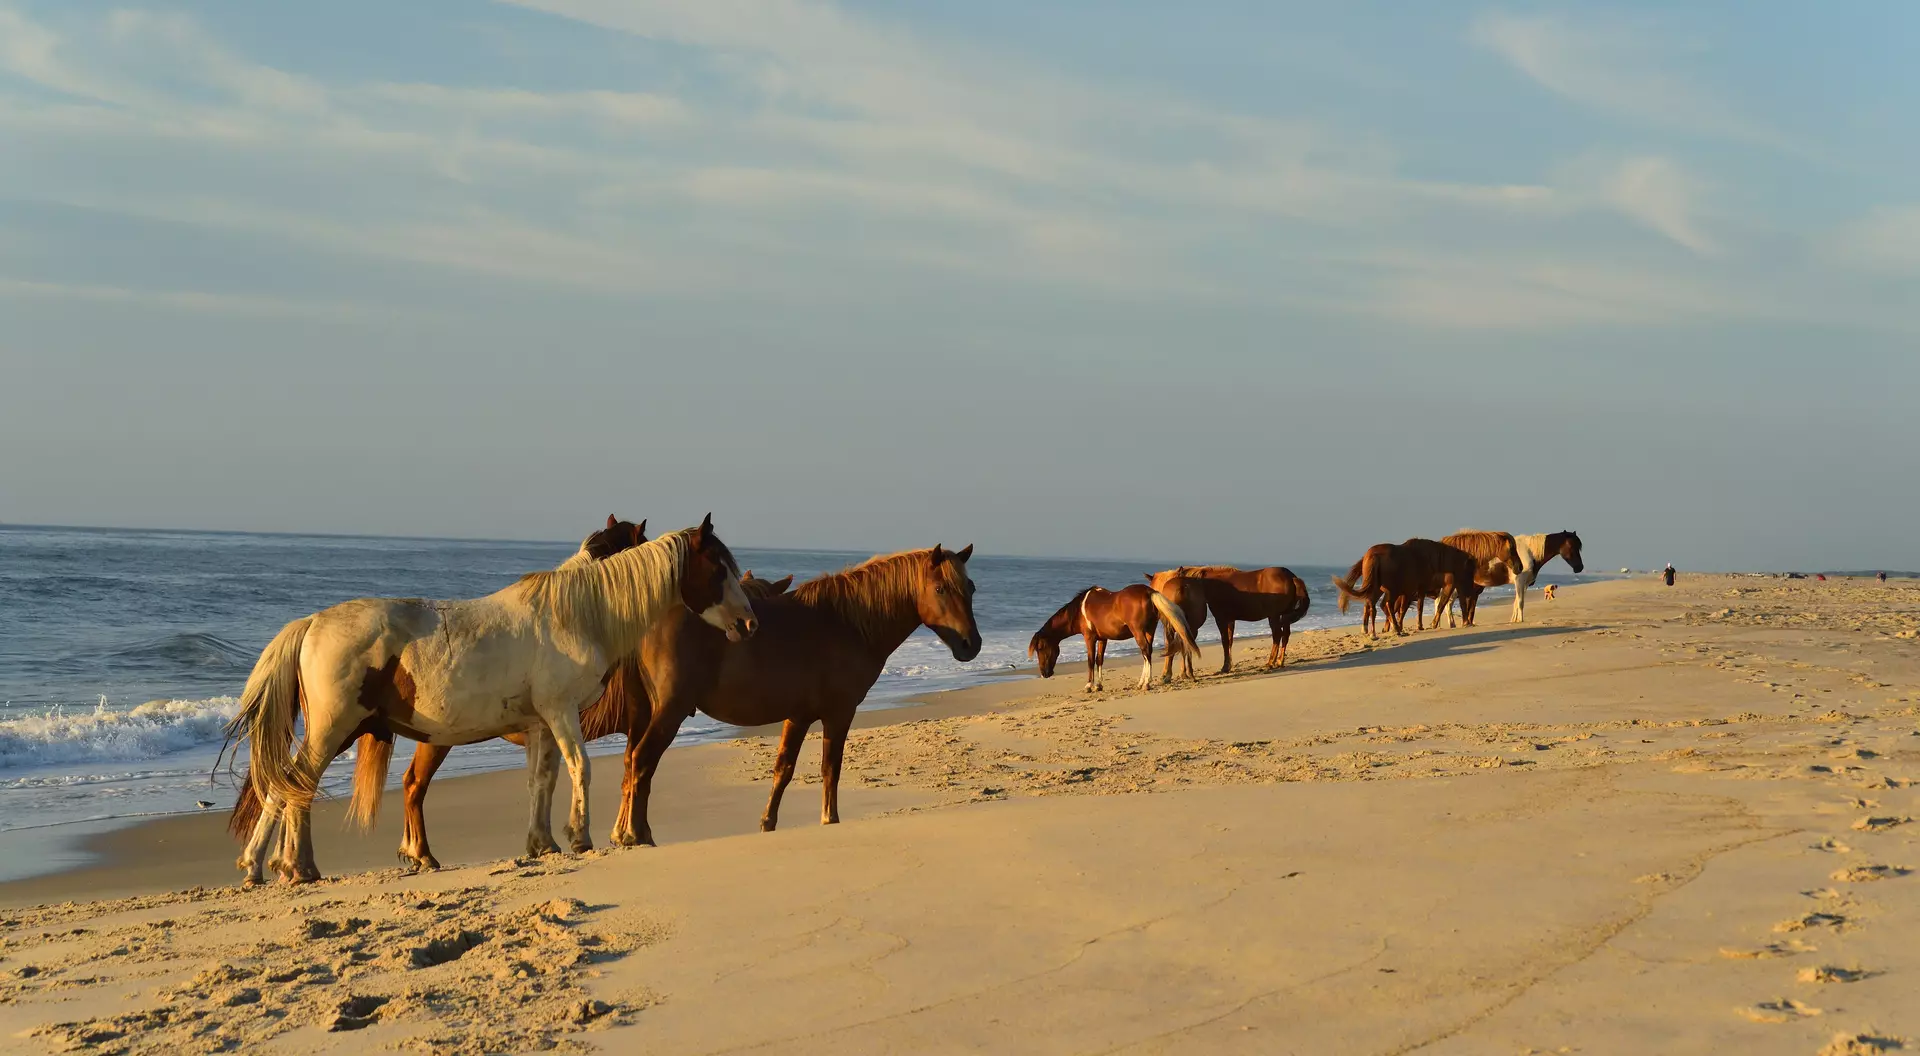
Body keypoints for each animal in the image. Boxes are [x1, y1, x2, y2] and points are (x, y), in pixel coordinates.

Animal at [221, 516, 756, 885]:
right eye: (718, 567)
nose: (748, 623)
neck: (576, 613)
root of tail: (312, 622)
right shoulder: (562, 713)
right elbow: (580, 768)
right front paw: (579, 837)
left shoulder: (541, 723)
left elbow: (543, 780)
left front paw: (542, 844)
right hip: (333, 729)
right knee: (293, 785)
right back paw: (287, 865)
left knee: (290, 785)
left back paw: (276, 865)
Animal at [1029, 585, 1201, 693]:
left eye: (1040, 648)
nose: (1044, 673)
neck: (1079, 610)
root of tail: (1149, 592)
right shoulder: (1102, 639)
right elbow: (1099, 660)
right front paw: (1098, 686)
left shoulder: (1089, 638)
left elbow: (1090, 661)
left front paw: (1089, 686)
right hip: (1149, 631)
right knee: (1147, 653)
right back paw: (1140, 683)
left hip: (1138, 631)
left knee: (1145, 651)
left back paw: (1146, 683)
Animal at [1145, 565, 1312, 672]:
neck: (1209, 583)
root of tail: (1292, 577)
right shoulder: (1230, 619)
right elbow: (1230, 641)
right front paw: (1229, 665)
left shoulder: (1221, 618)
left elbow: (1225, 641)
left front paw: (1225, 667)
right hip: (1284, 615)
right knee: (1285, 636)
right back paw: (1279, 662)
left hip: (1274, 616)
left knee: (1277, 636)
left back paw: (1270, 662)